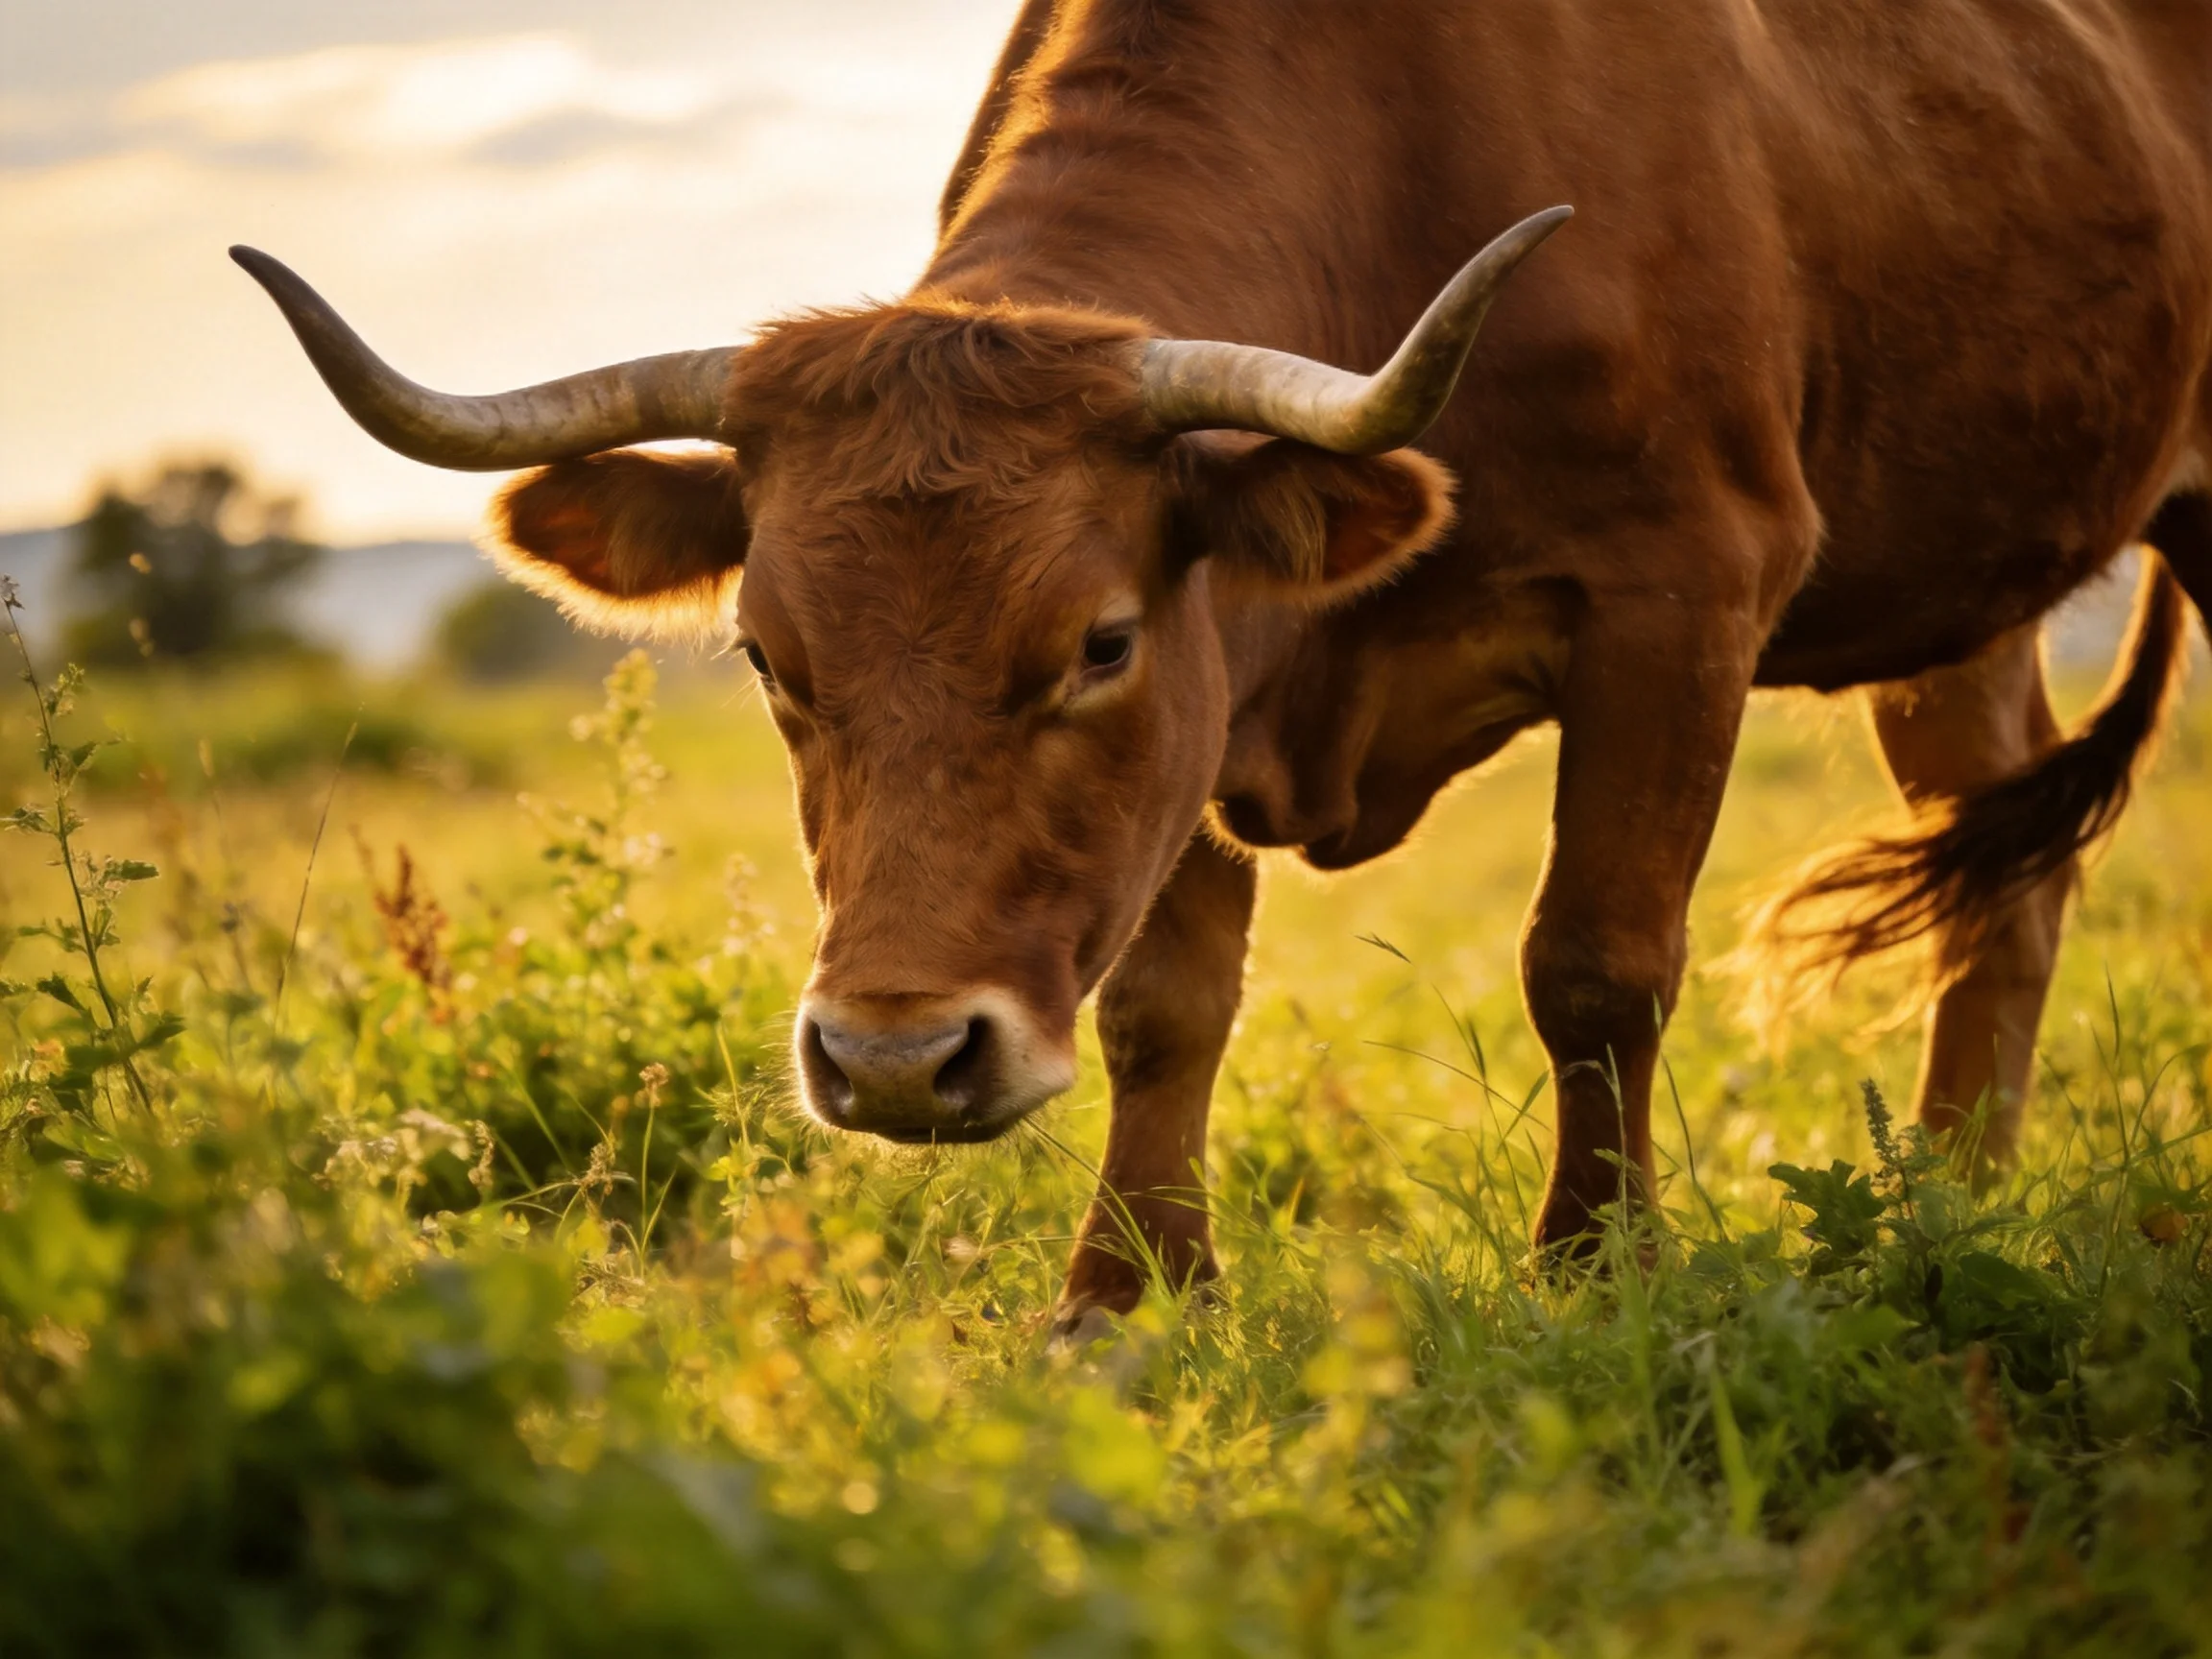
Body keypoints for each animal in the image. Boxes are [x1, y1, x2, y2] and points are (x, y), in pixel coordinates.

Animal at [235, 0, 2212, 1332]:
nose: (892, 1060)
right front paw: (1125, 1298)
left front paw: (1593, 1271)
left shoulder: (1685, 594)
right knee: (2004, 884)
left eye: (1096, 642)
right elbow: (1161, 1007)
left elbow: (1593, 967)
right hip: (1962, 615)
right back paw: (1946, 1202)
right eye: (767, 656)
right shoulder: (1211, 717)